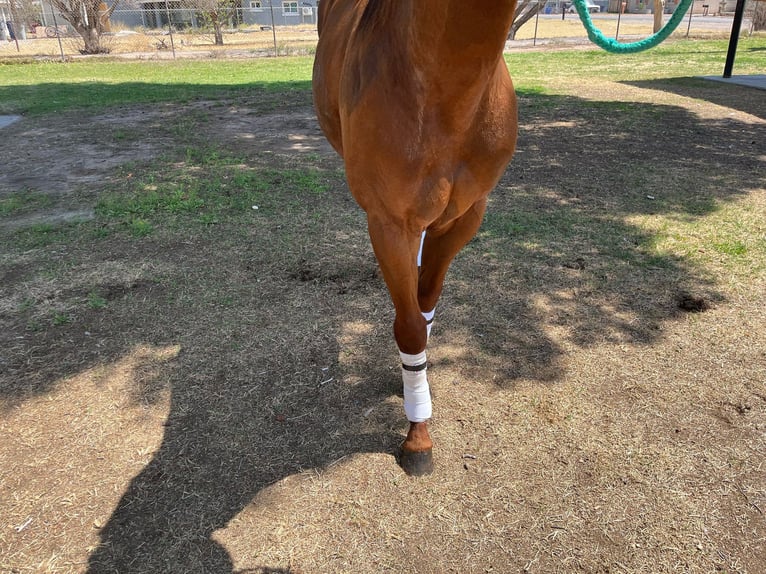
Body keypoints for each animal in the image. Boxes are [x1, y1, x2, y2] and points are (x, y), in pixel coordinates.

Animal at [313, 0, 519, 475]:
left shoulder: (465, 216)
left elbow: (425, 305)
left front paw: (412, 382)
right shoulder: (388, 223)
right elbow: (409, 327)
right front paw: (418, 435)